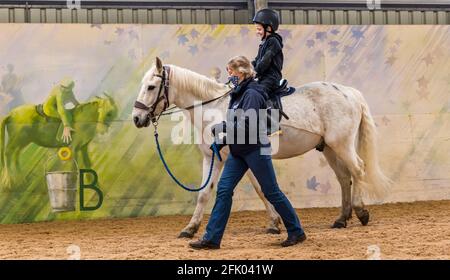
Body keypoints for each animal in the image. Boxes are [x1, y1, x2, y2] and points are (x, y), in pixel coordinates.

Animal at [132, 57, 392, 238]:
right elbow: (205, 193)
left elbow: (260, 189)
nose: (136, 118)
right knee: (344, 178)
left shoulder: (240, 157)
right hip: (328, 148)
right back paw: (341, 219)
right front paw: (190, 228)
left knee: (358, 170)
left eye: (152, 87)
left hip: (342, 144)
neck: (215, 108)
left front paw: (275, 224)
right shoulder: (213, 158)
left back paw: (361, 212)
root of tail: (350, 92)